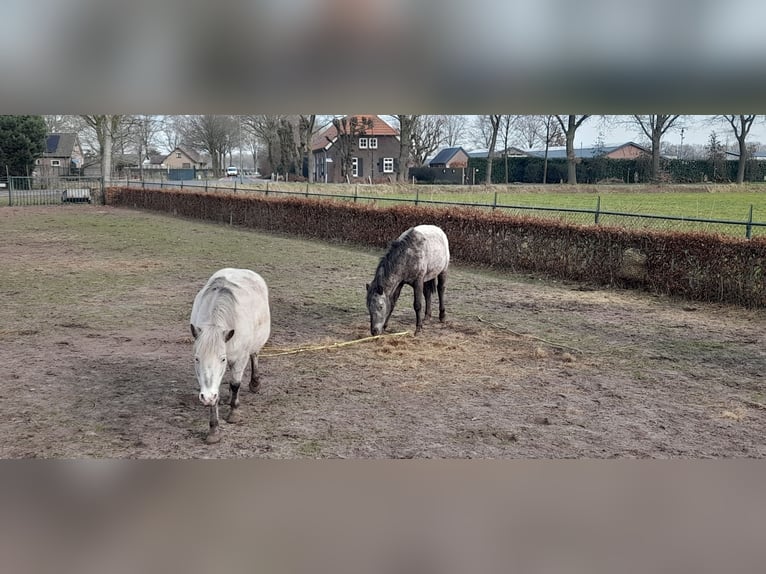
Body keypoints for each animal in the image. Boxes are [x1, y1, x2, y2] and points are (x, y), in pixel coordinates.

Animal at [190, 268, 272, 446]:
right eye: (197, 359)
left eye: (222, 358)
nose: (206, 397)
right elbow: (215, 394)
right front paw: (214, 431)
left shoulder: (240, 358)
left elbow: (235, 384)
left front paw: (234, 413)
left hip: (254, 345)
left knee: (254, 355)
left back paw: (255, 383)